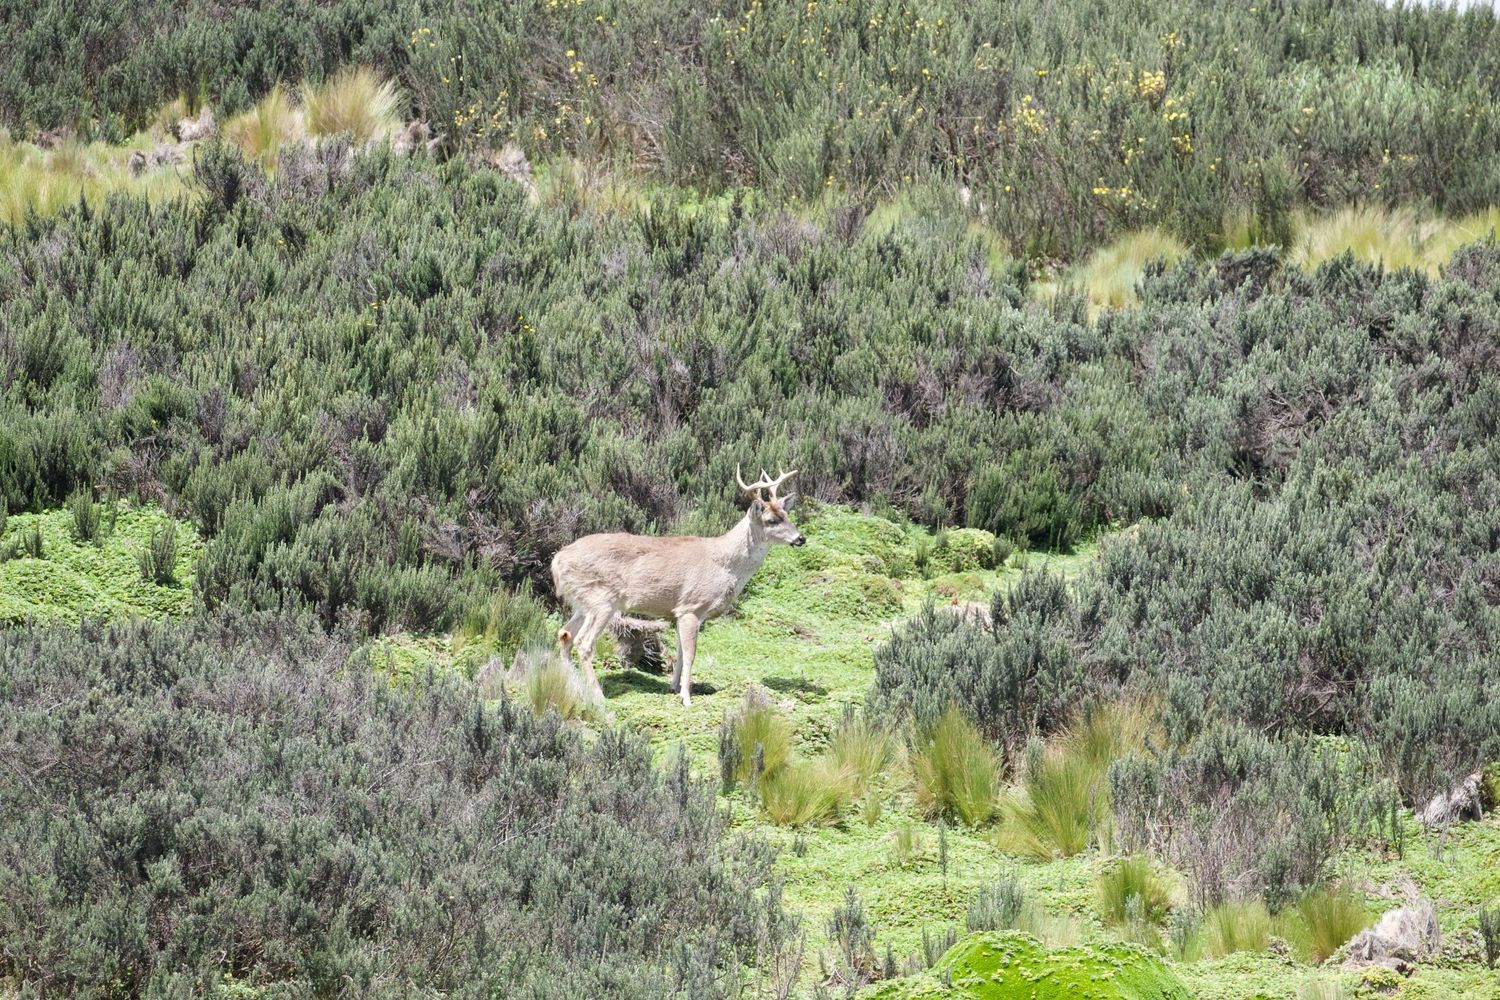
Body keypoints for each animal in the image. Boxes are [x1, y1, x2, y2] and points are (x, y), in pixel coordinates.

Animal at [550, 467, 805, 707]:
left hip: (582, 602)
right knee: (583, 643)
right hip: (602, 600)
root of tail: (557, 561)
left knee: (564, 634)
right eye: (771, 520)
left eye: (786, 515)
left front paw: (674, 687)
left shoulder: (682, 613)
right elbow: (691, 654)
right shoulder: (692, 606)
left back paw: (572, 686)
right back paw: (597, 696)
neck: (725, 564)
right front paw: (686, 697)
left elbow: (681, 652)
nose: (800, 538)